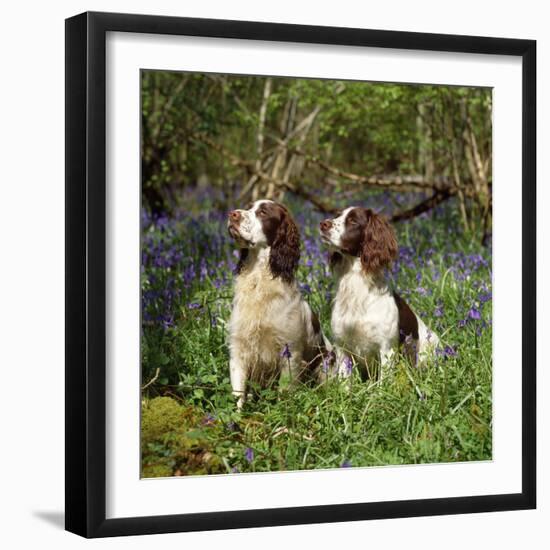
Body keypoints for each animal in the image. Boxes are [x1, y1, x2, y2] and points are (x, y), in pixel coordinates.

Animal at [226, 201, 330, 408]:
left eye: (263, 212)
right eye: (248, 207)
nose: (232, 214)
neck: (259, 280)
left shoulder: (289, 353)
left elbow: (285, 392)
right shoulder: (239, 350)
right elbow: (238, 395)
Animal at [322, 205, 438, 382]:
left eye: (353, 221)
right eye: (337, 216)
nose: (323, 224)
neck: (356, 288)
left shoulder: (386, 349)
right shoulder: (342, 348)